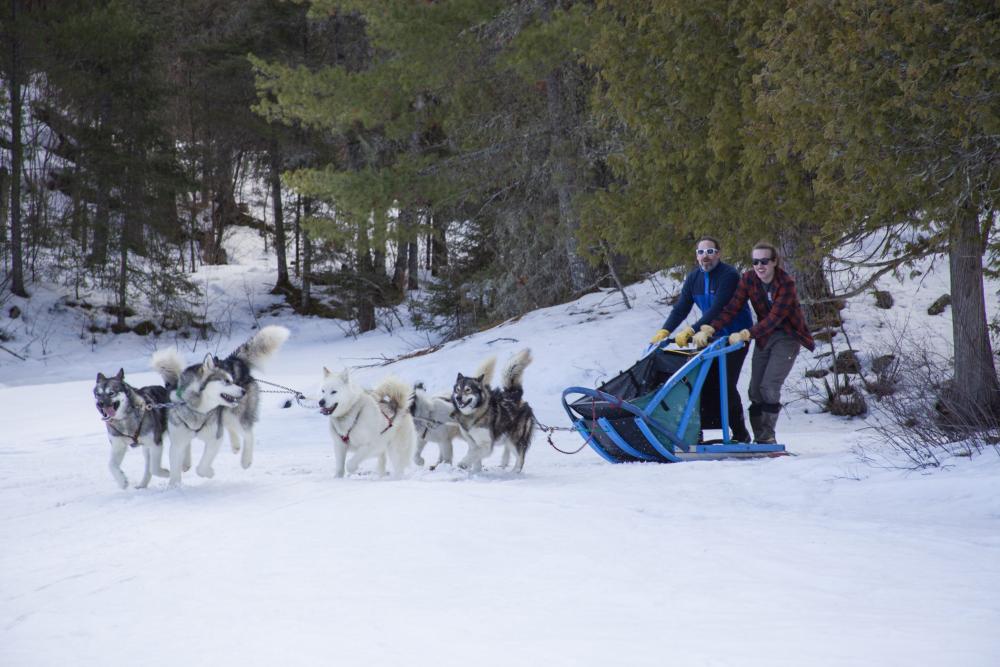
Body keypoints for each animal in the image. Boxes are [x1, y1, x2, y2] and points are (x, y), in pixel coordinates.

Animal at [151, 328, 290, 488]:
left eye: (232, 380)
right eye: (226, 382)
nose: (243, 391)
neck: (197, 409)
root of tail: (232, 360)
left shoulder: (214, 438)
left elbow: (201, 468)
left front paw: (209, 472)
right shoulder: (177, 443)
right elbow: (175, 469)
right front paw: (175, 486)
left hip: (235, 415)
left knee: (248, 434)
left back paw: (245, 460)